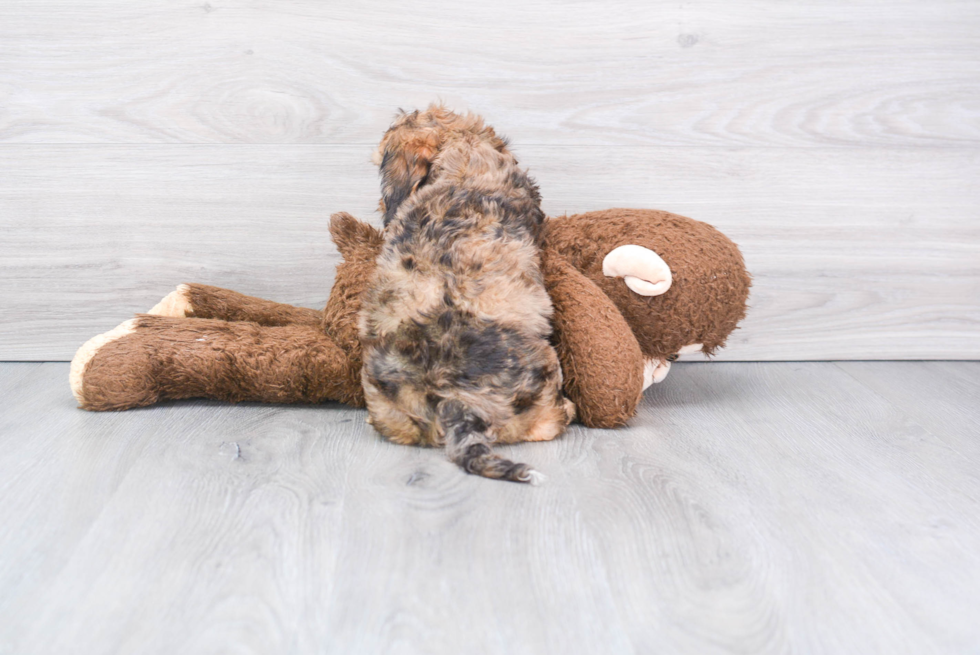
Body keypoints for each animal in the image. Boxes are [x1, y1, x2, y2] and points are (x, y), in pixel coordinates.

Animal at [360, 107, 576, 484]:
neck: (459, 162)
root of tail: (455, 401)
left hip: (383, 390)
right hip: (545, 370)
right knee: (546, 423)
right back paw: (569, 409)